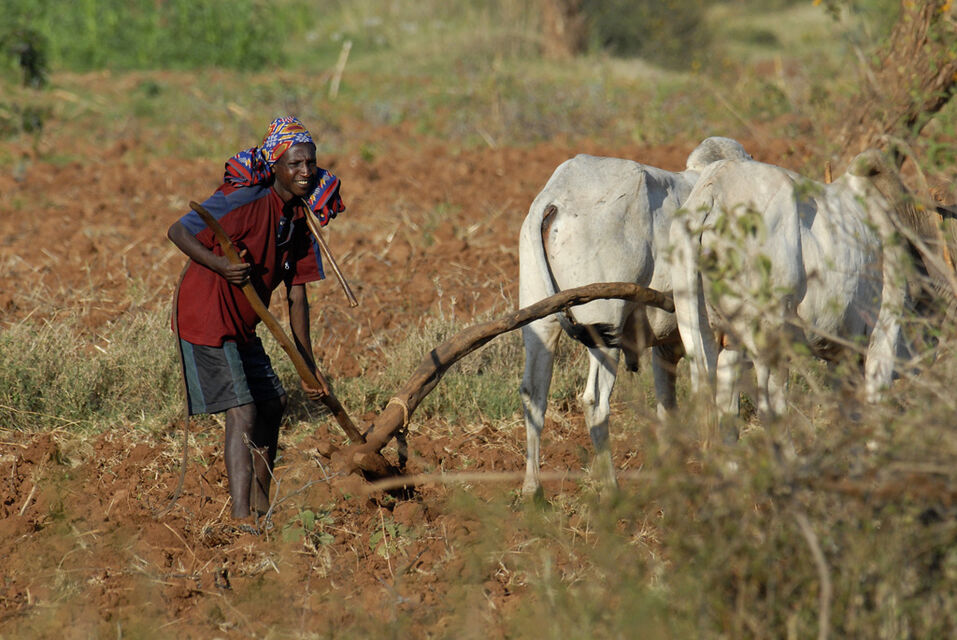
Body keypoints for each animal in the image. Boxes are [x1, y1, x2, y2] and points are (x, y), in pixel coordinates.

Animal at [517, 137, 752, 497]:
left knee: (534, 395)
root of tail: (554, 198)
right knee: (594, 402)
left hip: (540, 324)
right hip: (604, 328)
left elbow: (668, 405)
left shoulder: (666, 347)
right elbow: (726, 407)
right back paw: (610, 487)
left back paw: (533, 490)